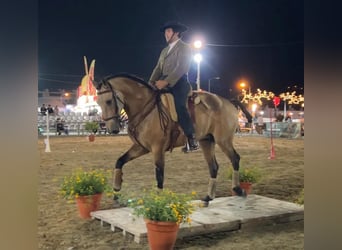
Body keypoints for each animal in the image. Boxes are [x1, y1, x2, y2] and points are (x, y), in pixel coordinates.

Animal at [93, 73, 251, 206]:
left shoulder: (157, 149)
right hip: (206, 141)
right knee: (213, 166)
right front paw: (116, 190)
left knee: (235, 159)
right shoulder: (141, 147)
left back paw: (238, 189)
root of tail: (228, 101)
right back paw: (208, 197)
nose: (112, 129)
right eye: (99, 103)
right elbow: (119, 161)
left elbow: (159, 175)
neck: (146, 109)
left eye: (108, 101)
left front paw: (157, 201)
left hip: (223, 140)